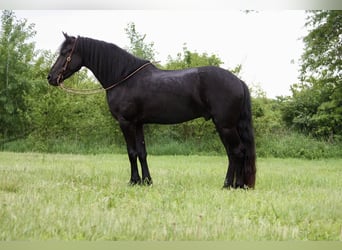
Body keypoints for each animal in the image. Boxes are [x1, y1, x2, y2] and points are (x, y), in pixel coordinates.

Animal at [48, 33, 256, 189]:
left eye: (65, 52)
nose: (50, 77)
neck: (123, 77)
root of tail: (238, 81)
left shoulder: (126, 122)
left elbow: (131, 152)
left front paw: (133, 181)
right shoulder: (138, 123)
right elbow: (142, 152)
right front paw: (147, 181)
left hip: (225, 125)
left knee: (238, 151)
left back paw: (233, 185)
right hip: (225, 126)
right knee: (233, 153)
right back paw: (233, 184)